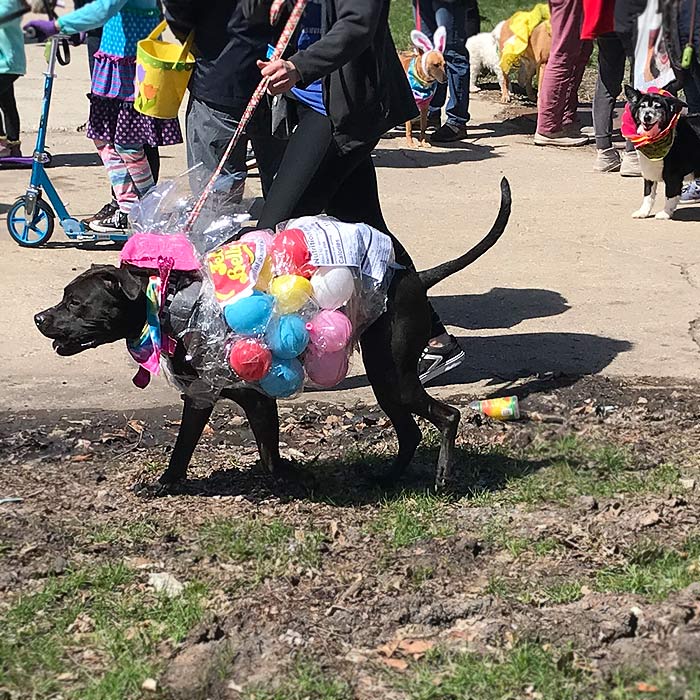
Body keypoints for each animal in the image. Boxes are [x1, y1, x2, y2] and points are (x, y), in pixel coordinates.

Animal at [34, 180, 508, 492]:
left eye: (75, 303)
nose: (39, 317)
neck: (169, 302)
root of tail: (414, 279)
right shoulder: (249, 399)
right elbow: (268, 454)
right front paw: (284, 479)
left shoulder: (215, 397)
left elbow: (184, 449)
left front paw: (164, 484)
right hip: (386, 381)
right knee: (410, 432)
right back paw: (387, 478)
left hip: (393, 376)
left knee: (447, 417)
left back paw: (442, 478)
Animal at [624, 85, 700, 221]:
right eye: (642, 106)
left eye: (657, 106)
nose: (647, 117)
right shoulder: (648, 171)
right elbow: (648, 195)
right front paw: (643, 212)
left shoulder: (673, 175)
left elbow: (670, 195)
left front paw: (665, 213)